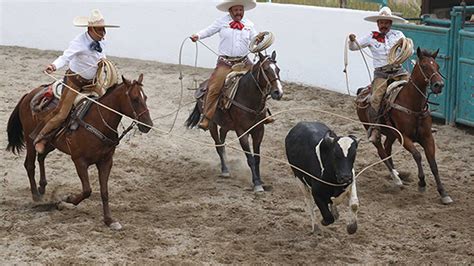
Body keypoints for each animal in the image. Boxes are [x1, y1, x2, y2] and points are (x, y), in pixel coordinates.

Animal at [6, 74, 154, 230]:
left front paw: (109, 220)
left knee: (41, 157)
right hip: (30, 141)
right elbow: (87, 190)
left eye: (145, 97)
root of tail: (29, 94)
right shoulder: (79, 161)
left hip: (51, 142)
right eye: (135, 99)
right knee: (29, 165)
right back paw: (36, 196)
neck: (98, 122)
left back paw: (42, 186)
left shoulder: (106, 161)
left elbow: (104, 192)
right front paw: (67, 200)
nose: (148, 125)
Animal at [184, 51, 282, 191]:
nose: (278, 92)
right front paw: (257, 183)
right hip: (212, 124)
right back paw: (225, 170)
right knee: (219, 145)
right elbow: (250, 158)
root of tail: (203, 86)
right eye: (266, 69)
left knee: (222, 140)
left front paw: (261, 180)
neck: (248, 98)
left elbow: (257, 158)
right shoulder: (241, 132)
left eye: (278, 70)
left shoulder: (259, 130)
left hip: (226, 125)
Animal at [356, 47, 452, 205]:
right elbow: (417, 155)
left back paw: (396, 175)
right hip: (373, 129)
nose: (439, 85)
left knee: (387, 149)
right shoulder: (404, 137)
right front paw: (421, 183)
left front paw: (443, 193)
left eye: (438, 66)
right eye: (424, 66)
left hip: (391, 134)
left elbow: (433, 163)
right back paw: (396, 179)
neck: (413, 105)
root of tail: (362, 90)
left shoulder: (428, 137)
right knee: (381, 151)